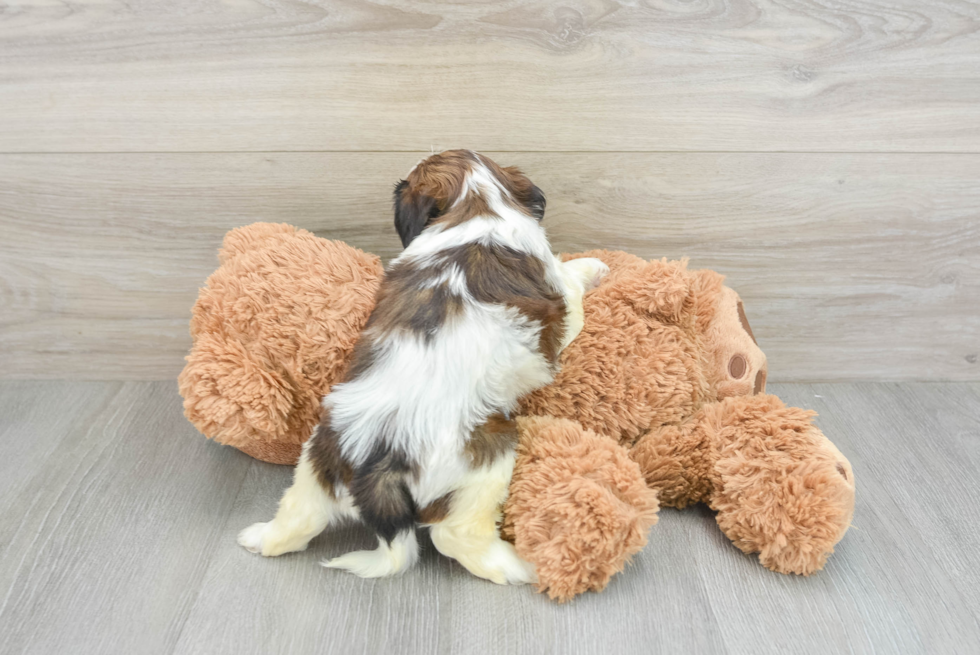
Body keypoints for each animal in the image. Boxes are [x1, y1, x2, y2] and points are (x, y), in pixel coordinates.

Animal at [237, 152, 604, 584]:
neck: (476, 202)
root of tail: (379, 461)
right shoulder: (561, 301)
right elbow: (569, 281)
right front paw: (593, 267)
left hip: (316, 461)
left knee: (299, 517)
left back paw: (260, 537)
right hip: (488, 456)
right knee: (454, 536)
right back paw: (518, 565)